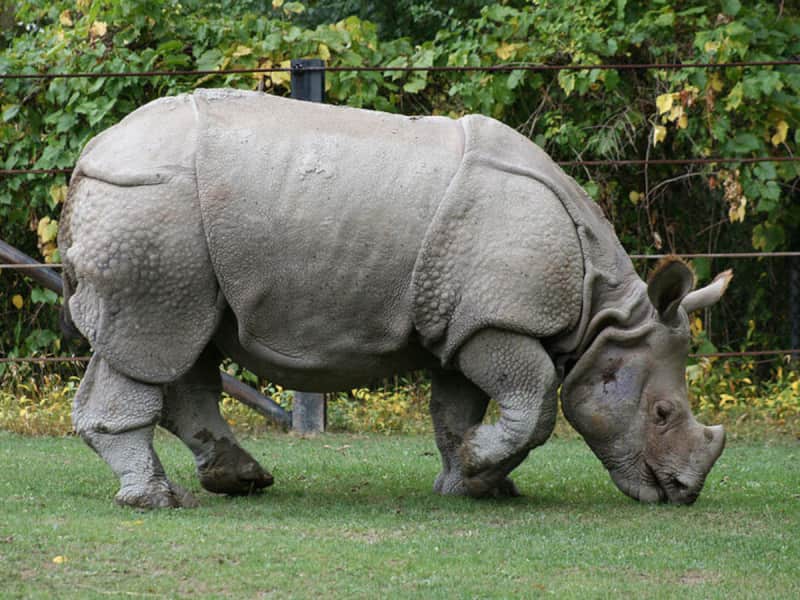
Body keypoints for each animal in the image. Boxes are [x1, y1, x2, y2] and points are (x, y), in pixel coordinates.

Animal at [59, 89, 729, 509]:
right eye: (662, 413)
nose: (683, 493)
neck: (602, 311)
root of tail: (92, 154)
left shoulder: (463, 321)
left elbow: (456, 410)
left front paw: (472, 480)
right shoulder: (496, 320)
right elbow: (535, 400)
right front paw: (482, 469)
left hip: (166, 228)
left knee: (183, 345)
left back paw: (240, 479)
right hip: (151, 209)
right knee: (152, 339)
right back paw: (157, 501)